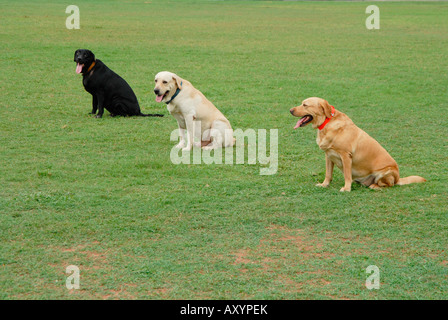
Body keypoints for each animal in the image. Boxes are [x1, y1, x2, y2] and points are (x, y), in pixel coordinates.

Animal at [288, 97, 426, 192]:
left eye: (305, 105)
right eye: (301, 103)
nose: (290, 110)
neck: (327, 123)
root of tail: (398, 178)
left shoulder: (346, 156)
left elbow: (347, 175)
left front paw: (346, 188)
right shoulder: (328, 156)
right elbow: (328, 174)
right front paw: (324, 185)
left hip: (385, 172)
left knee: (388, 184)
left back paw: (374, 186)